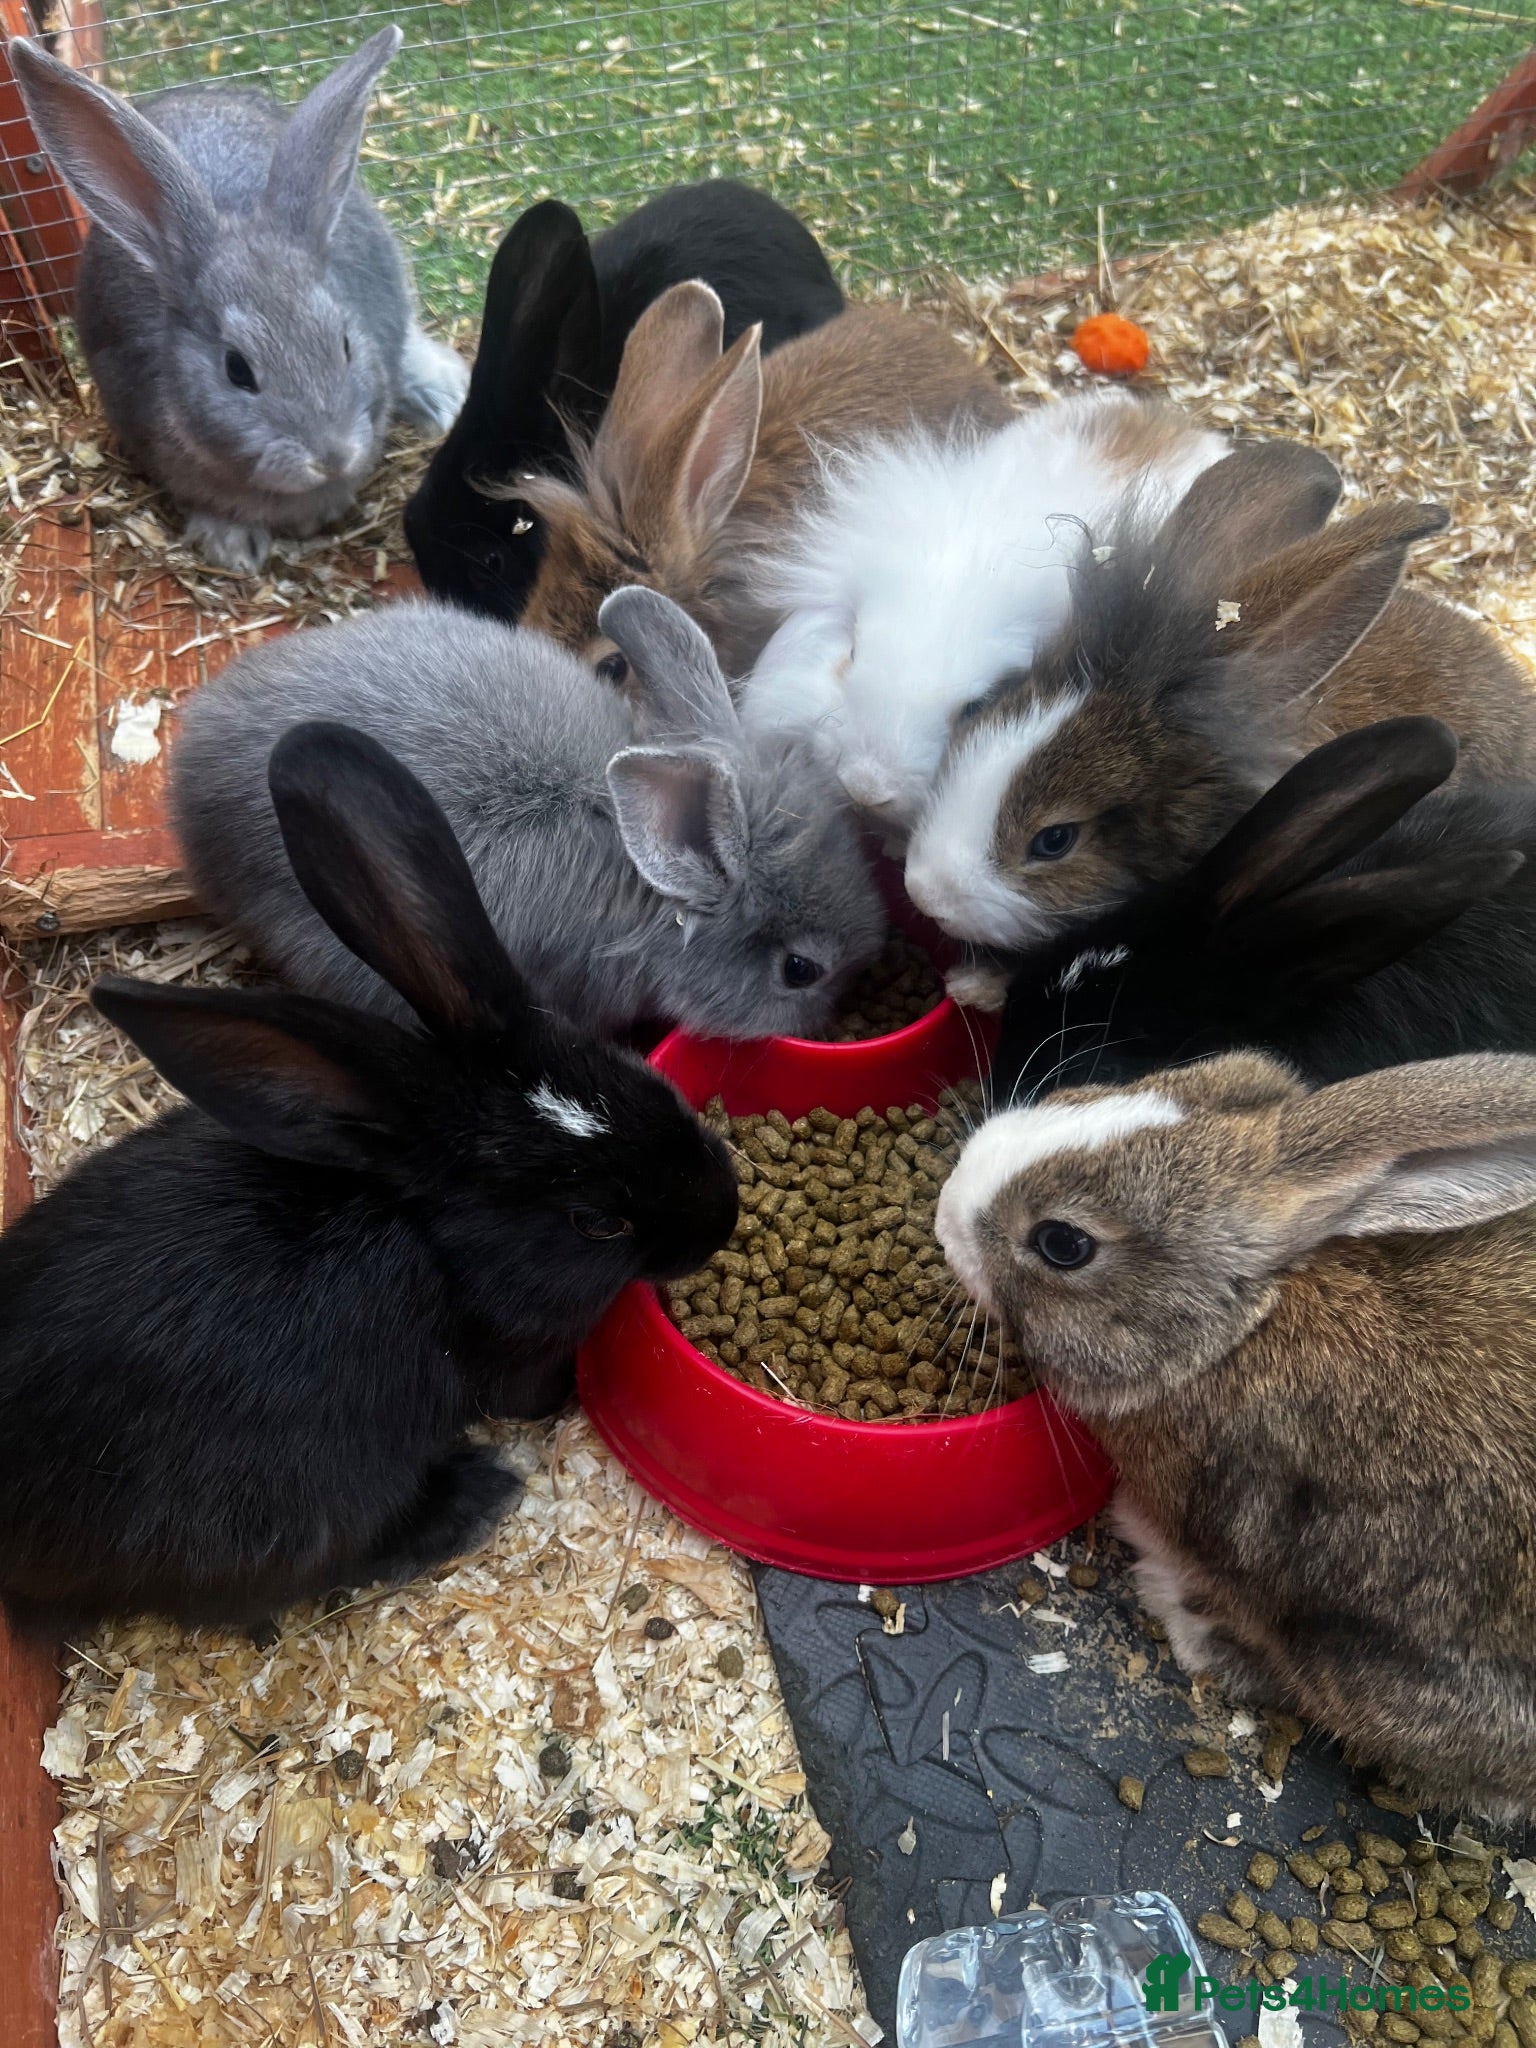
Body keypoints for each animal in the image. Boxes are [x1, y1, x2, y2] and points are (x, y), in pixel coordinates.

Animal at [0, 720, 738, 1632]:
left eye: (644, 1081)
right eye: (596, 1222)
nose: (725, 1214)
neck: (428, 1232)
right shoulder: (513, 1351)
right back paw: (472, 1497)